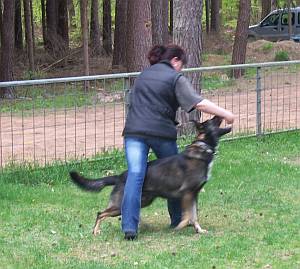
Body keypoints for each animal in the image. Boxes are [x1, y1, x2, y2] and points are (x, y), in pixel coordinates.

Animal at [70, 115, 232, 234]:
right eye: (213, 120)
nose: (219, 114)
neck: (204, 147)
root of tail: (119, 176)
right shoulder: (187, 194)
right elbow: (188, 216)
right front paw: (180, 226)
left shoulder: (194, 194)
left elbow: (194, 216)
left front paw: (199, 230)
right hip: (119, 205)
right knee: (100, 213)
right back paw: (96, 231)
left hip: (142, 201)